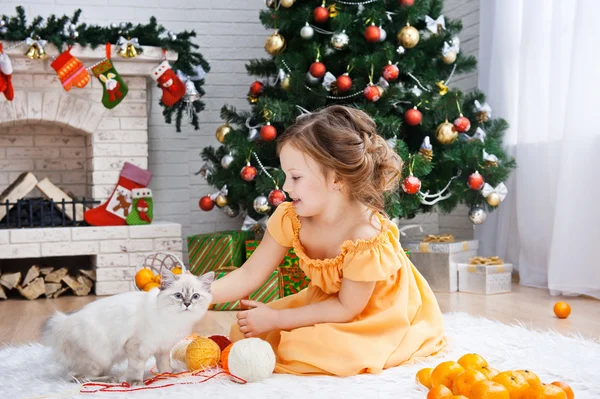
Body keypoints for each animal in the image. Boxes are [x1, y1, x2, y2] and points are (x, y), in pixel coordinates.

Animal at [40, 268, 213, 384]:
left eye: (195, 296)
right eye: (178, 296)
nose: (187, 304)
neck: (174, 320)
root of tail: (61, 324)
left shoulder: (163, 349)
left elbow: (164, 366)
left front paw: (168, 375)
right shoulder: (137, 348)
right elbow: (136, 369)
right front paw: (136, 383)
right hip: (100, 358)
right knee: (78, 377)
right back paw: (110, 379)